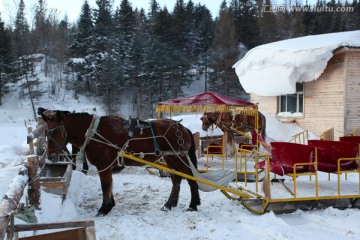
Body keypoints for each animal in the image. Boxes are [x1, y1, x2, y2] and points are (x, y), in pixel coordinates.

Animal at [42, 110, 201, 216]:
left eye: (56, 131)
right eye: (46, 132)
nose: (52, 157)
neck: (94, 132)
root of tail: (183, 128)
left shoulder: (103, 165)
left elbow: (105, 185)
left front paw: (104, 208)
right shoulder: (108, 166)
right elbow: (109, 185)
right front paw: (110, 205)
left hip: (179, 157)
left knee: (190, 178)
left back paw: (193, 204)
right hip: (170, 158)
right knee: (176, 179)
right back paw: (169, 204)